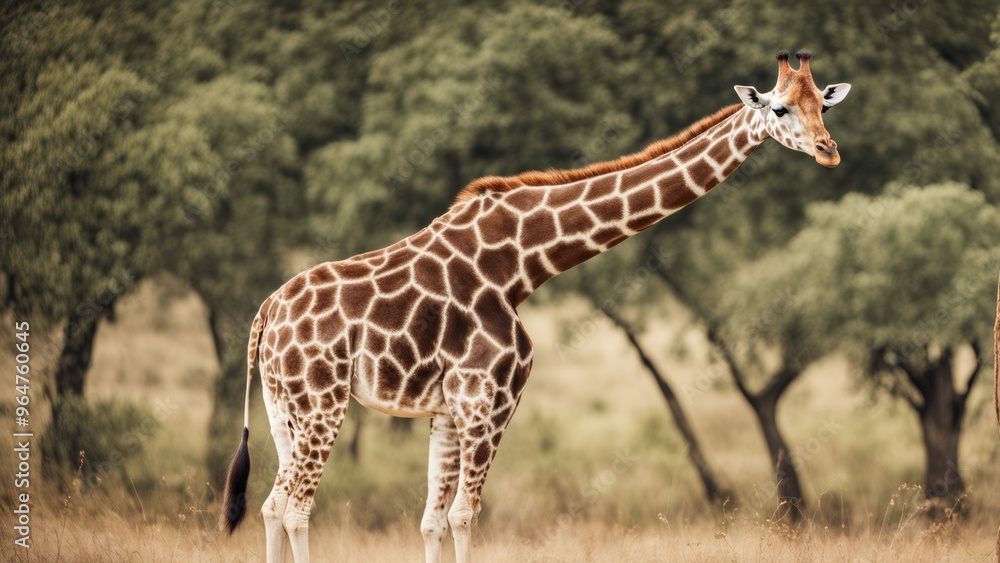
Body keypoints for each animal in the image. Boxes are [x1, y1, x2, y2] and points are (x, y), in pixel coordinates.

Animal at [220, 50, 850, 563]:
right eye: (779, 110)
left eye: (822, 104)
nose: (829, 152)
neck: (523, 265)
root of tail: (265, 314)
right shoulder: (490, 399)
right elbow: (464, 517)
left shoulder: (447, 409)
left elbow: (431, 521)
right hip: (322, 402)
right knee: (296, 506)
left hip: (282, 407)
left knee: (273, 507)